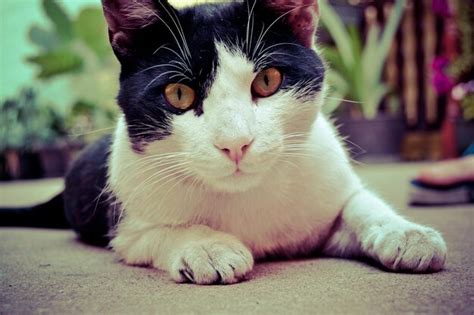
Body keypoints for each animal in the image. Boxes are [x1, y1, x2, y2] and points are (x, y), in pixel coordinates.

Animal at [0, 0, 446, 286]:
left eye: (268, 81)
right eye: (179, 94)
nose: (236, 143)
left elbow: (359, 205)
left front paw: (407, 234)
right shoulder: (127, 227)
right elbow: (161, 231)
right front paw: (208, 246)